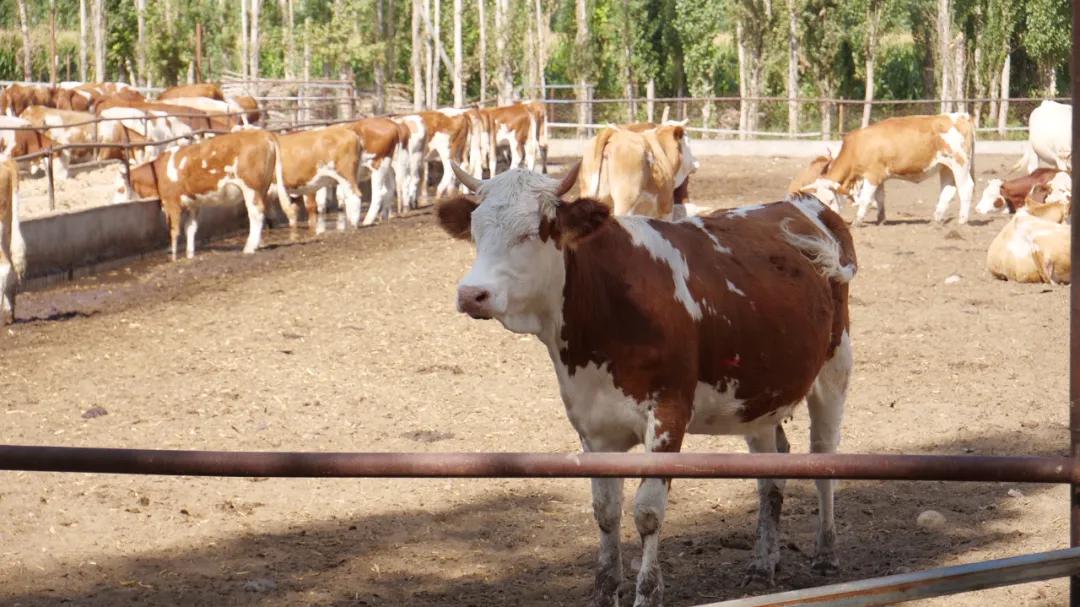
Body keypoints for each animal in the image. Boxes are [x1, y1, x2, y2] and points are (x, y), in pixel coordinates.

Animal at [114, 130, 287, 257]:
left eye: (120, 189)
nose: (116, 203)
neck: (159, 171)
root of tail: (263, 133)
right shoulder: (193, 204)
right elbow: (190, 228)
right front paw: (190, 253)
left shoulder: (171, 203)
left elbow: (174, 230)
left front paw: (173, 255)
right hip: (262, 189)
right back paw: (258, 244)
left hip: (251, 188)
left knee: (256, 214)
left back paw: (249, 247)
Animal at [436, 163, 851, 600]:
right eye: (477, 230)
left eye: (533, 231)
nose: (472, 294)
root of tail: (801, 203)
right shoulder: (593, 427)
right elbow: (605, 511)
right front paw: (604, 591)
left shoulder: (668, 416)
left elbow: (648, 513)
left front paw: (647, 592)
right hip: (757, 396)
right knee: (771, 472)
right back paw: (763, 564)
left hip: (834, 368)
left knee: (824, 455)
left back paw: (826, 553)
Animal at [799, 112, 976, 223]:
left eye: (829, 200)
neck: (858, 147)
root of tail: (961, 116)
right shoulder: (880, 177)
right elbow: (879, 198)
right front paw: (881, 219)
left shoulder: (872, 176)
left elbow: (865, 198)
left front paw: (858, 220)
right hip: (946, 167)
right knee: (948, 190)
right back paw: (937, 218)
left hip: (960, 164)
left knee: (966, 188)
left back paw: (962, 220)